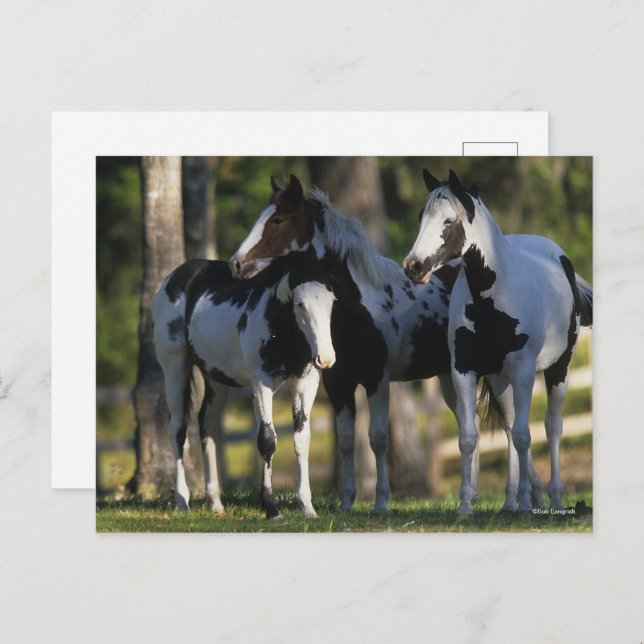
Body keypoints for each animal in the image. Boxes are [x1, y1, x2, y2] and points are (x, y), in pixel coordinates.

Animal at [153, 251, 336, 519]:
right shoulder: (262, 384)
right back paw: (183, 502)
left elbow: (302, 441)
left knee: (207, 425)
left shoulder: (306, 384)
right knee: (178, 429)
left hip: (215, 379)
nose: (326, 358)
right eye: (300, 303)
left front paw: (307, 508)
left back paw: (215, 502)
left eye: (332, 301)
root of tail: (174, 277)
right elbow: (267, 440)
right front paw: (271, 508)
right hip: (175, 368)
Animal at [230, 175, 546, 513]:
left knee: (511, 425)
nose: (236, 264)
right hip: (450, 378)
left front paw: (381, 502)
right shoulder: (338, 383)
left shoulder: (376, 380)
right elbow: (346, 441)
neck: (359, 305)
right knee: (470, 422)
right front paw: (346, 502)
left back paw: (523, 498)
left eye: (278, 219)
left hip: (495, 373)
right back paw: (480, 497)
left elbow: (378, 438)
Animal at [403, 168, 593, 515]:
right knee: (509, 426)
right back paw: (508, 502)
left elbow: (525, 435)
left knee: (552, 427)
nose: (413, 266)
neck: (492, 297)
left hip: (558, 369)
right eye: (422, 215)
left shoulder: (524, 371)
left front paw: (527, 505)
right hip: (499, 379)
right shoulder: (464, 370)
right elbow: (470, 437)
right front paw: (465, 506)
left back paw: (553, 498)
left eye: (449, 221)